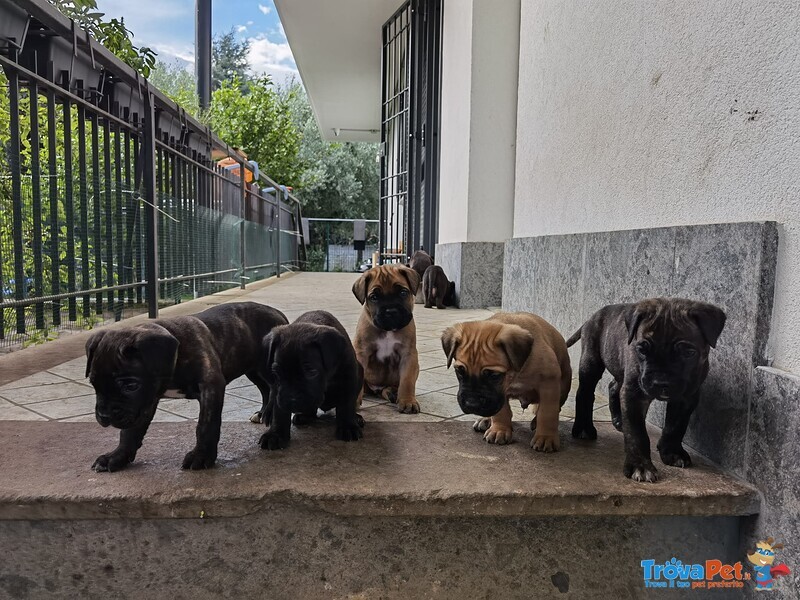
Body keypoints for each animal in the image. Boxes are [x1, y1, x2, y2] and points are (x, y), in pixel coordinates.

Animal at [260, 312, 362, 448]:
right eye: (277, 374)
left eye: (311, 372)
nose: (292, 401)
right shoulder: (278, 391)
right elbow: (279, 412)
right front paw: (276, 435)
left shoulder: (348, 375)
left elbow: (346, 403)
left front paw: (348, 427)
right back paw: (304, 416)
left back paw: (356, 418)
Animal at [354, 266, 422, 412]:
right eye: (374, 297)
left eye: (403, 292)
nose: (391, 311)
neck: (388, 330)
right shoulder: (361, 353)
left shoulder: (408, 355)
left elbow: (407, 380)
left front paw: (408, 401)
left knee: (390, 388)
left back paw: (393, 393)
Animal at [444, 314, 568, 450]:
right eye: (459, 371)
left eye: (494, 375)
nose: (472, 404)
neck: (516, 372)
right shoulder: (500, 394)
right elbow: (501, 411)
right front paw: (499, 430)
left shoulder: (548, 384)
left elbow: (547, 414)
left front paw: (546, 438)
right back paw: (486, 419)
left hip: (563, 388)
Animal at [564, 298, 728, 482]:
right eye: (642, 350)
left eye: (688, 353)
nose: (661, 382)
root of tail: (592, 317)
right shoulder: (634, 395)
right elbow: (637, 433)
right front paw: (641, 466)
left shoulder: (686, 397)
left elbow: (676, 425)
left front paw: (672, 452)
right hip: (591, 361)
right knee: (584, 393)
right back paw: (584, 428)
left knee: (613, 386)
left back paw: (619, 420)